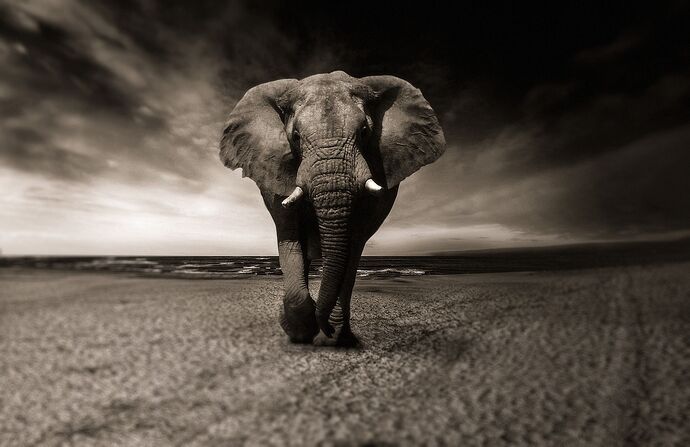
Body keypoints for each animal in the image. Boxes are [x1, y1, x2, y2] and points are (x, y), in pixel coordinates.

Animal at [219, 70, 445, 346]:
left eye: (364, 132)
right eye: (295, 137)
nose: (324, 327)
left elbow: (352, 245)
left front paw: (332, 335)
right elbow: (290, 237)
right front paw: (300, 331)